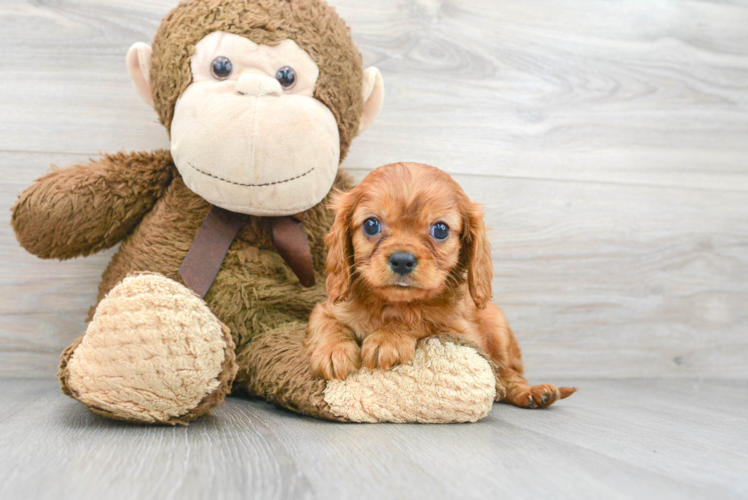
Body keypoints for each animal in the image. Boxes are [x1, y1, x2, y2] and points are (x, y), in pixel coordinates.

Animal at [306, 162, 576, 408]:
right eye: (371, 224)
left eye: (440, 229)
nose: (402, 260)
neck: (392, 305)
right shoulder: (325, 309)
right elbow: (328, 324)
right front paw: (333, 351)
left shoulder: (461, 332)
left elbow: (424, 319)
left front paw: (389, 338)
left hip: (497, 327)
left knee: (508, 375)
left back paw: (534, 393)